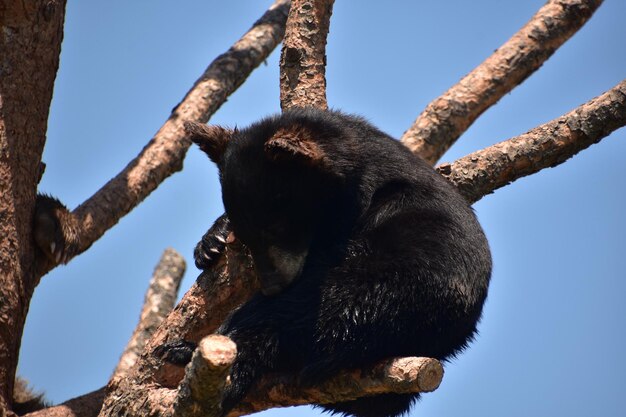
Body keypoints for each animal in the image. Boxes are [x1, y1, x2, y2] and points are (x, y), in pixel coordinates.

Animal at [178, 109, 490, 416]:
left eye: (276, 227)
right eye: (248, 235)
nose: (272, 286)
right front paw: (211, 242)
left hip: (390, 291)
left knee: (304, 310)